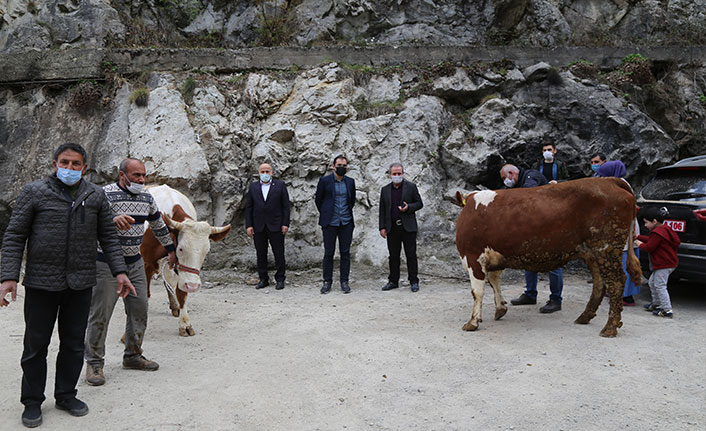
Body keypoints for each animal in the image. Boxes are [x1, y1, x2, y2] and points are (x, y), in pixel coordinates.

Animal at [140, 186, 231, 338]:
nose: (193, 286)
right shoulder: (146, 263)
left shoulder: (182, 271)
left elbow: (181, 293)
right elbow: (145, 293)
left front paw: (185, 324)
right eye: (181, 248)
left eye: (206, 251)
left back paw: (174, 306)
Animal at [454, 177, 640, 340]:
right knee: (600, 283)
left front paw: (473, 322)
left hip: (607, 247)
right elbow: (494, 282)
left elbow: (477, 291)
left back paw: (610, 327)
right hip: (594, 254)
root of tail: (610, 180)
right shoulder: (495, 258)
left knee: (616, 282)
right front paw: (500, 309)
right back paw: (584, 317)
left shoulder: (472, 256)